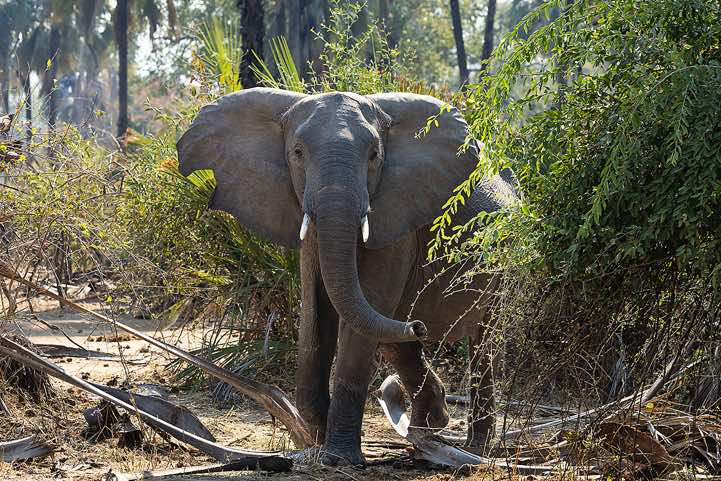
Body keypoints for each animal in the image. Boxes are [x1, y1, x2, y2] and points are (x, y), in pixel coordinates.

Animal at [177, 87, 518, 466]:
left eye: (373, 156)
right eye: (297, 153)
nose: (419, 326)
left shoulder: (395, 216)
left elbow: (362, 311)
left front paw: (338, 458)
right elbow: (316, 309)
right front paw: (316, 441)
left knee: (481, 340)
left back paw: (472, 448)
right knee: (395, 338)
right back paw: (426, 430)